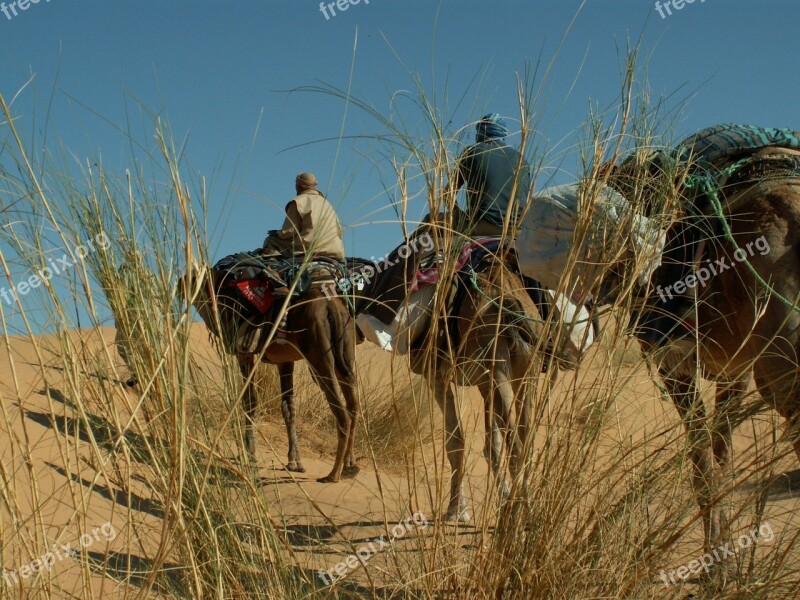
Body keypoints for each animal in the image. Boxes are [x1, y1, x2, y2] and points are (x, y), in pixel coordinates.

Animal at [184, 262, 360, 482]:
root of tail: (330, 307)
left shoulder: (244, 353)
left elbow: (250, 400)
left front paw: (249, 454)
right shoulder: (284, 361)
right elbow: (288, 407)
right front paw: (295, 461)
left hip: (319, 355)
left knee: (342, 414)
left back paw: (333, 474)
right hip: (345, 349)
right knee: (354, 406)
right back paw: (349, 467)